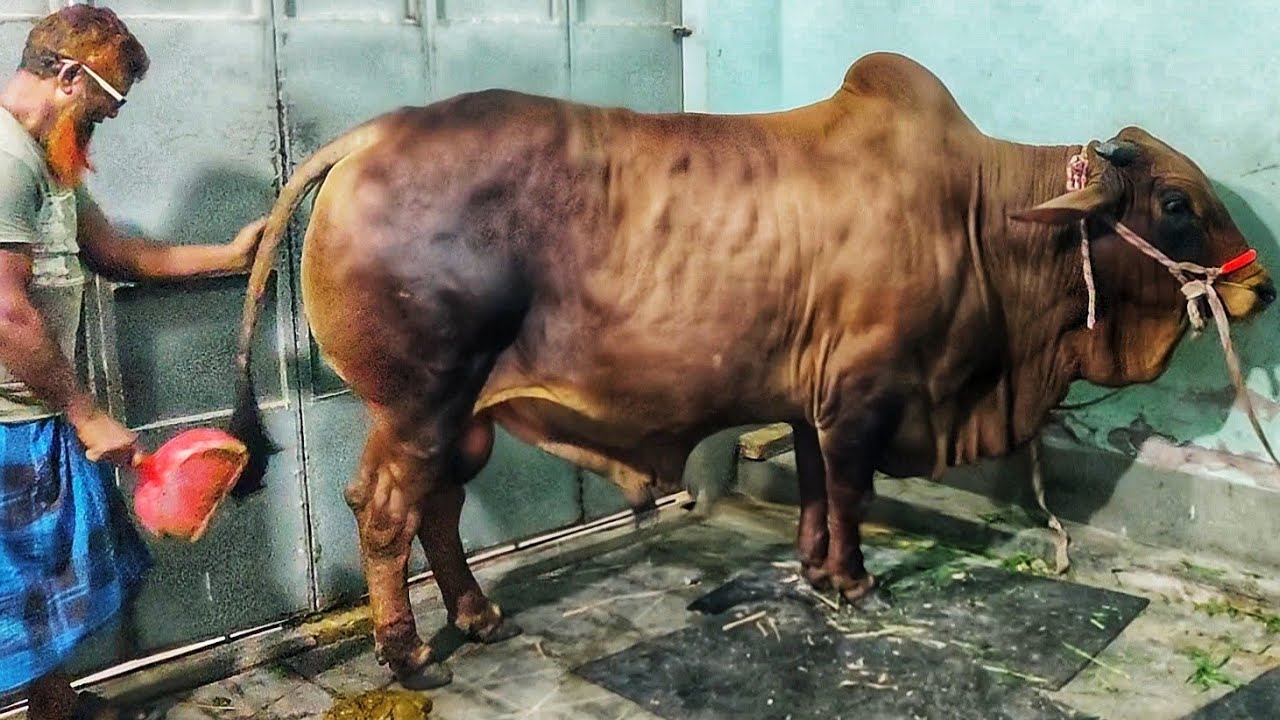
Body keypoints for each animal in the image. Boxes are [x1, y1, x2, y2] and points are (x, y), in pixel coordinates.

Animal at [225, 52, 1275, 689]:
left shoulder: (813, 400)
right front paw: (852, 582)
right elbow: (850, 490)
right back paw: (408, 654)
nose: (1259, 286)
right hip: (421, 403)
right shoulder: (863, 395)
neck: (983, 215)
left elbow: (813, 486)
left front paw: (811, 568)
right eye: (1176, 202)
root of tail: (373, 134)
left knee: (437, 511)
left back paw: (479, 618)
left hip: (462, 416)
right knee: (387, 512)